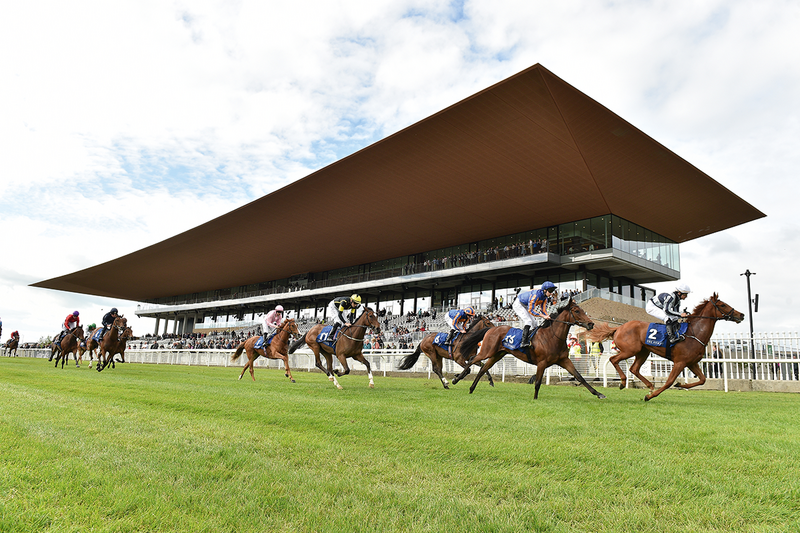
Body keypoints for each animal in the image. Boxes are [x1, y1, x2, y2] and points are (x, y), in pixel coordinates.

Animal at [450, 300, 608, 400]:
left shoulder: (564, 360)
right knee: (472, 360)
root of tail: (491, 328)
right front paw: (535, 398)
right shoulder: (542, 363)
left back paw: (471, 388)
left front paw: (599, 393)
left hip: (497, 354)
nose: (591, 323)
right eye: (576, 310)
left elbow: (580, 377)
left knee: (483, 368)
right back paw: (456, 379)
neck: (552, 336)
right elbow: (537, 382)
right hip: (487, 351)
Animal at [584, 294, 748, 402]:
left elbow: (702, 379)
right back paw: (624, 382)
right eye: (722, 305)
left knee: (634, 368)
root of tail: (618, 328)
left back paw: (649, 385)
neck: (694, 333)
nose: (742, 315)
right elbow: (669, 382)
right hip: (630, 350)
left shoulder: (692, 363)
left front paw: (681, 384)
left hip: (643, 352)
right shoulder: (680, 362)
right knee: (614, 359)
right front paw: (650, 396)